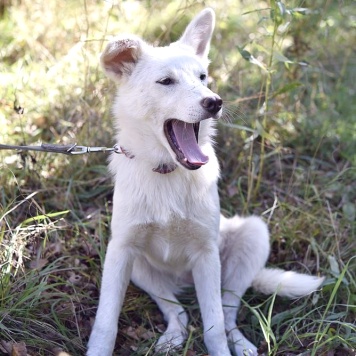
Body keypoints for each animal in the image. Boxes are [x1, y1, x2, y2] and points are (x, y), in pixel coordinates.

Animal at [87, 7, 324, 356]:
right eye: (166, 81)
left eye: (202, 78)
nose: (215, 102)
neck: (168, 172)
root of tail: (184, 282)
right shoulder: (121, 250)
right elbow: (106, 323)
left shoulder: (206, 254)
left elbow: (214, 326)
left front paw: (224, 347)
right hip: (139, 267)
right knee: (178, 311)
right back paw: (173, 337)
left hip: (250, 239)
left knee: (227, 314)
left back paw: (242, 344)